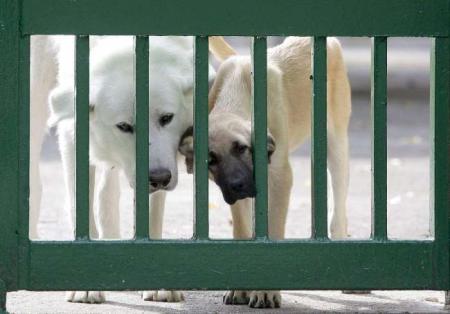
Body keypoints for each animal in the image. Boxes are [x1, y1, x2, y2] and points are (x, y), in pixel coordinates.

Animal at [29, 35, 213, 302]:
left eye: (167, 118)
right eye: (124, 126)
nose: (160, 178)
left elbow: (150, 215)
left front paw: (157, 284)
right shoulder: (73, 134)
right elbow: (80, 208)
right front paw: (86, 285)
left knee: (107, 192)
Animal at [179, 37, 352, 310]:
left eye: (241, 148)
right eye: (211, 160)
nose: (238, 185)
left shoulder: (280, 178)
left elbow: (274, 229)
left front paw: (266, 291)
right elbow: (241, 230)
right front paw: (241, 289)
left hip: (336, 146)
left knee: (339, 209)